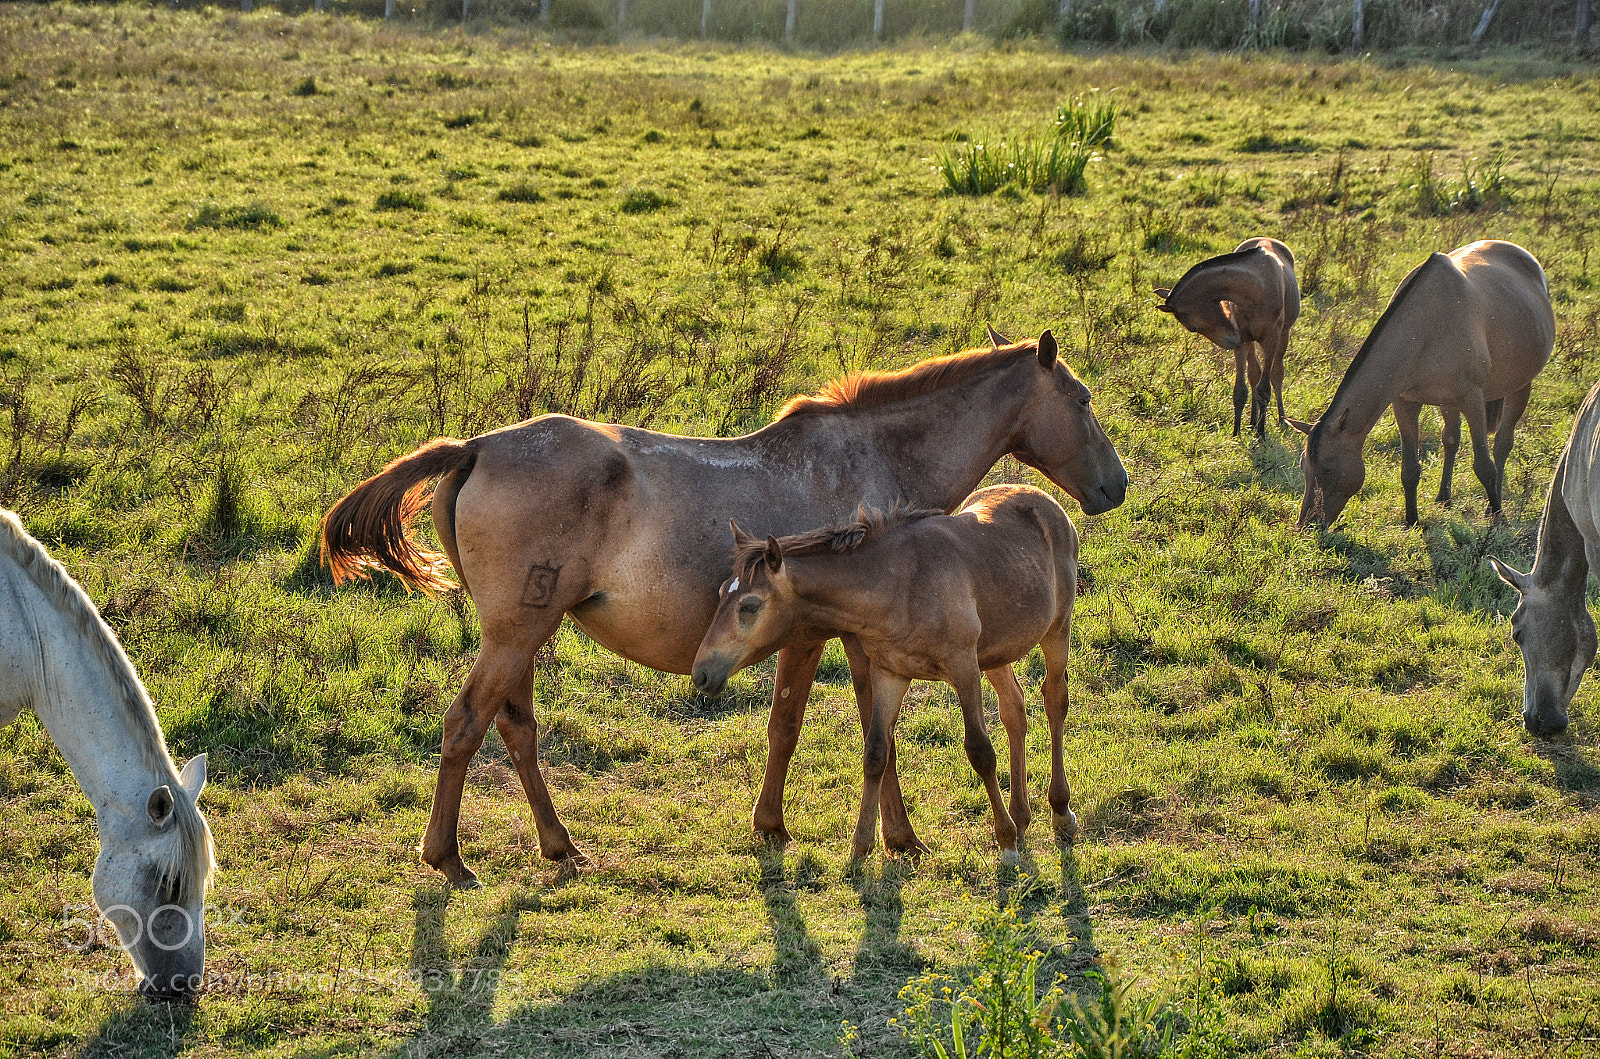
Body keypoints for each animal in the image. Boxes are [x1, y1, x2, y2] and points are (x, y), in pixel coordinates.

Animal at [691, 485, 1080, 864]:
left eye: (749, 606)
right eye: (721, 594)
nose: (701, 673)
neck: (901, 585)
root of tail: (1043, 498)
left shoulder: (964, 668)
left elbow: (981, 751)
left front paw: (1006, 843)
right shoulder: (889, 674)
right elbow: (876, 752)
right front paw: (861, 848)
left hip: (1056, 631)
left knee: (1054, 700)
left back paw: (1060, 812)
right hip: (997, 652)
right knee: (1015, 708)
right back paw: (1022, 817)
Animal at [1155, 237, 1300, 439]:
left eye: (1192, 327)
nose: (1230, 341)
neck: (1256, 287)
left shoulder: (1271, 339)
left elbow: (1265, 388)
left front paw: (1261, 434)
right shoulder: (1243, 339)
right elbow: (1241, 390)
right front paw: (1236, 432)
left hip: (1283, 335)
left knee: (1277, 374)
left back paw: (1281, 420)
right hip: (1250, 341)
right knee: (1254, 373)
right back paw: (1253, 421)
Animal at [1289, 240, 1554, 529]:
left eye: (1327, 468)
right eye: (1303, 466)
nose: (1306, 525)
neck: (1427, 327)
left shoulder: (1472, 398)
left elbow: (1484, 466)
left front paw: (1497, 517)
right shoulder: (1405, 402)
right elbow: (1410, 469)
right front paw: (1412, 519)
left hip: (1520, 385)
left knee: (1502, 444)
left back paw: (1490, 506)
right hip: (1448, 402)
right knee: (1451, 439)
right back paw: (1444, 497)